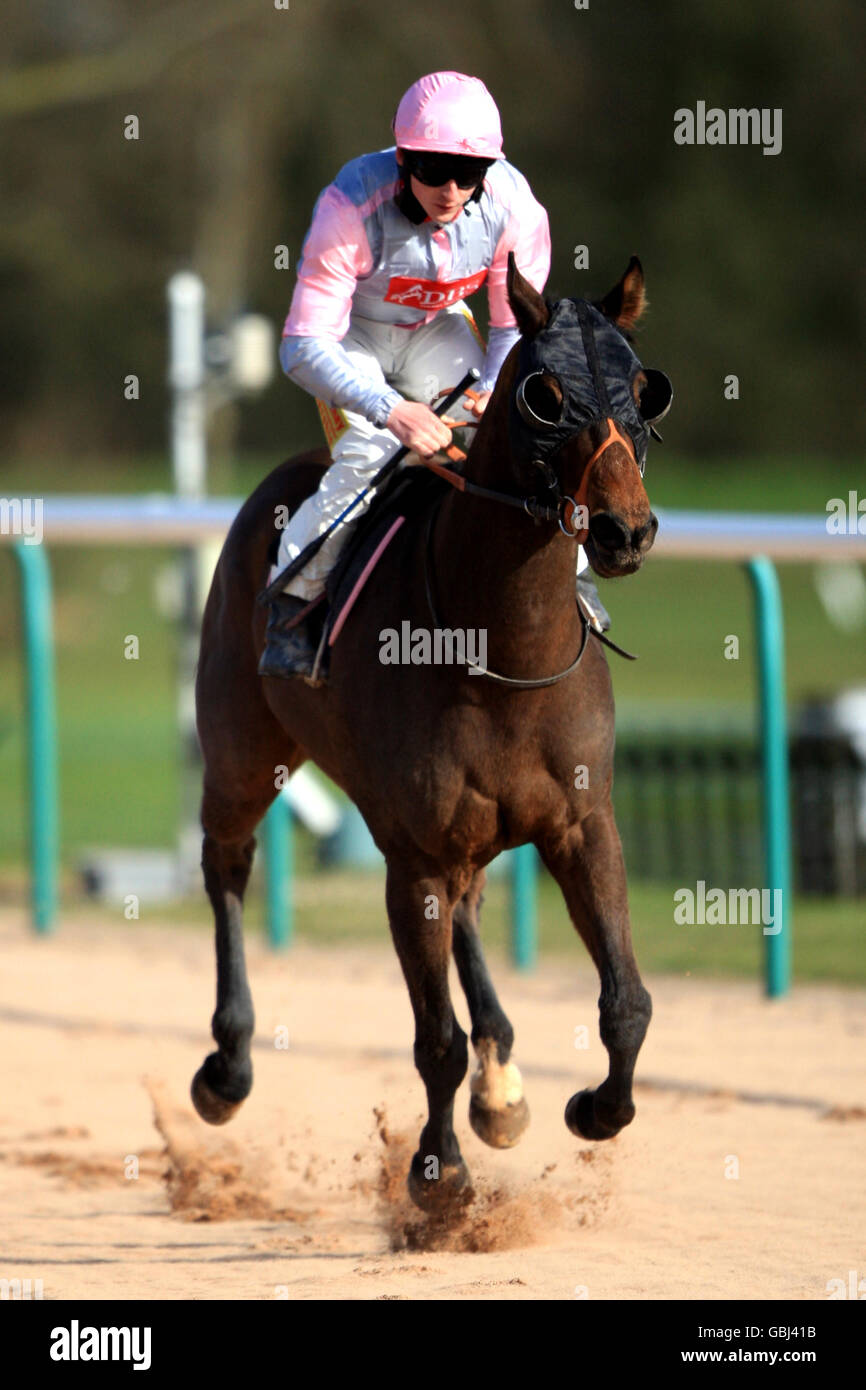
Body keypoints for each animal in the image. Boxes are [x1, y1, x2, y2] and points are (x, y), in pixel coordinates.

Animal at [195, 255, 667, 1212]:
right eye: (545, 394)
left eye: (644, 386)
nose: (624, 530)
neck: (501, 650)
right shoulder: (410, 853)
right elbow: (434, 1038)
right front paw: (437, 1172)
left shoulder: (581, 823)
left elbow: (627, 1001)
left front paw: (594, 1109)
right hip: (241, 749)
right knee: (226, 860)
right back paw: (228, 1064)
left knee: (471, 906)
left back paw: (503, 1084)